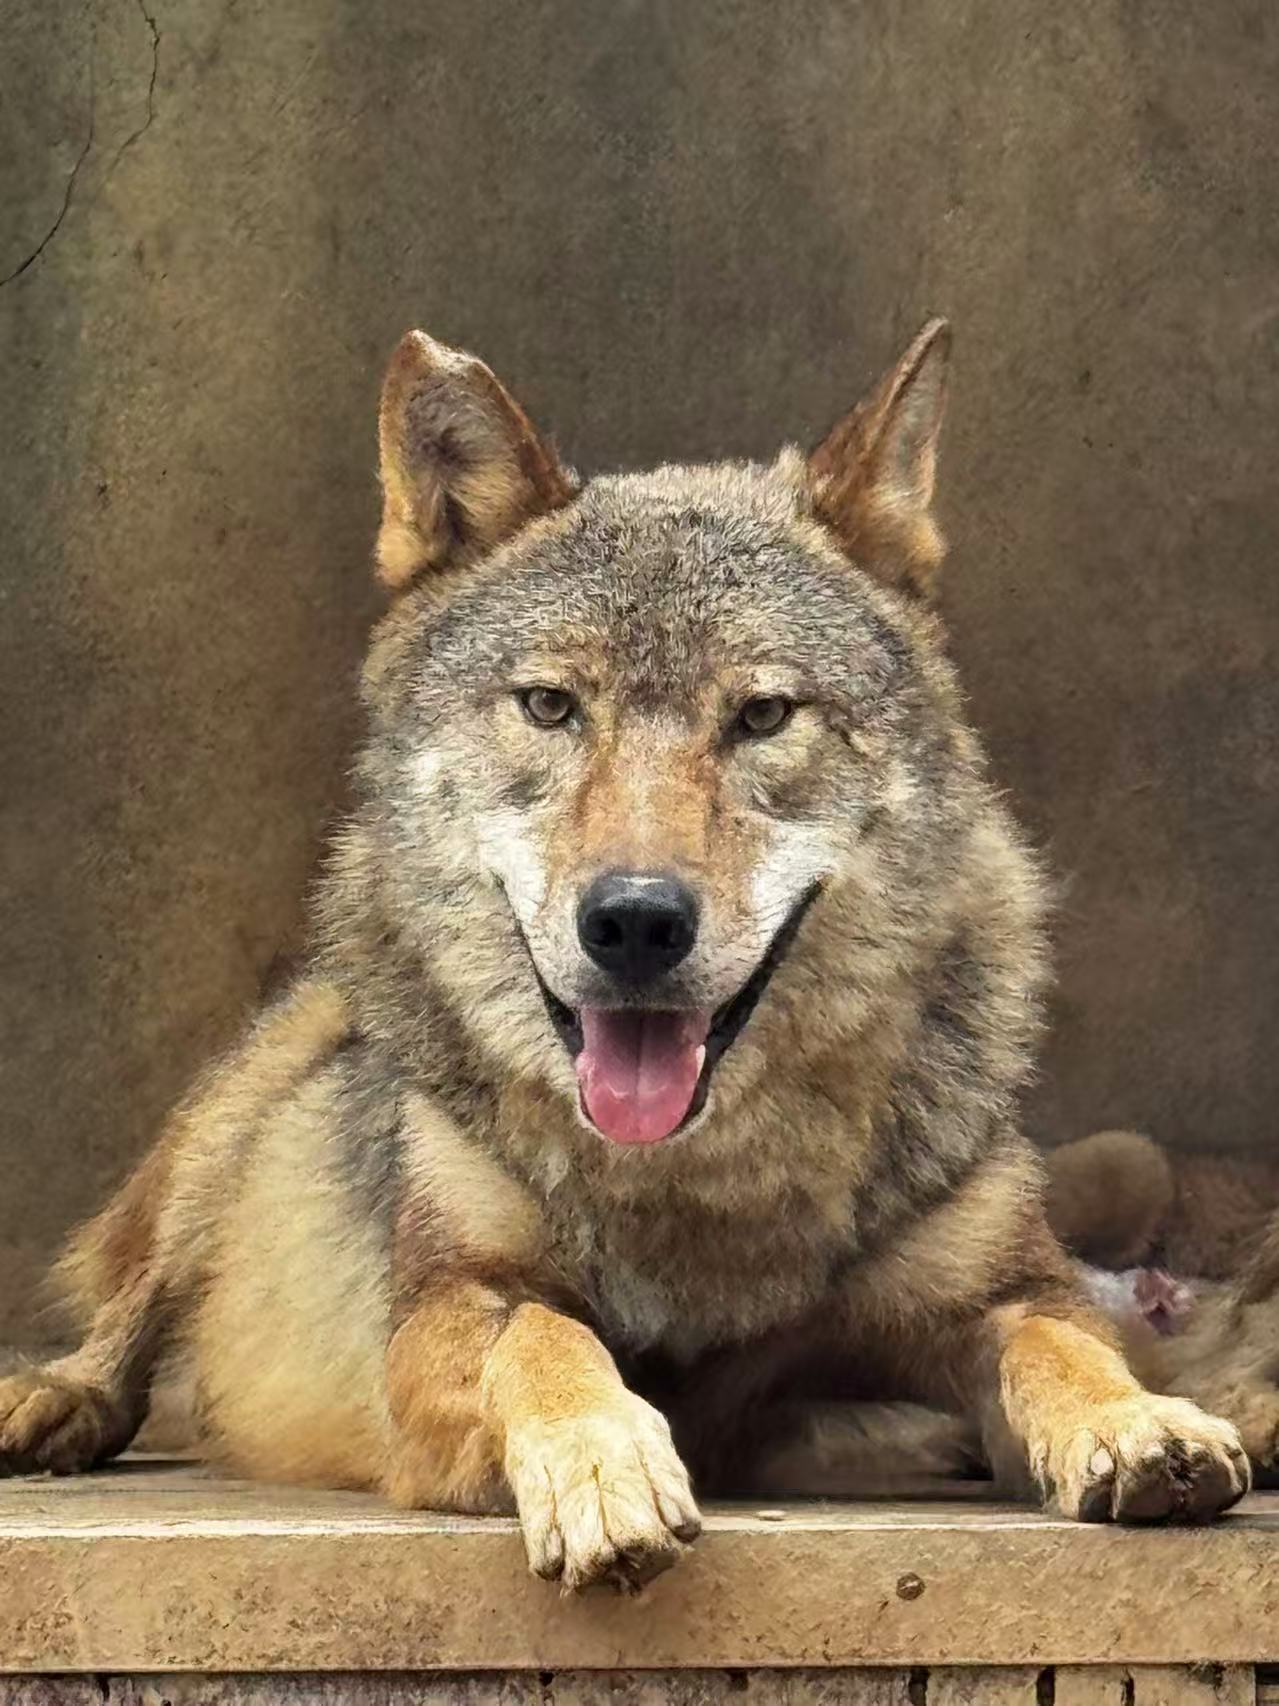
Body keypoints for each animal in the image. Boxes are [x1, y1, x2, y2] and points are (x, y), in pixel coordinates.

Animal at [0, 321, 1249, 1589]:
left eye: (762, 715)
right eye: (551, 705)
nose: (636, 921)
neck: (695, 1190)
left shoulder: (1002, 1289)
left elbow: (1062, 1343)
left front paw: (1142, 1420)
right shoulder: (447, 1305)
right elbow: (551, 1337)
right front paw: (603, 1464)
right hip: (237, 1119)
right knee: (127, 1322)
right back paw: (49, 1399)